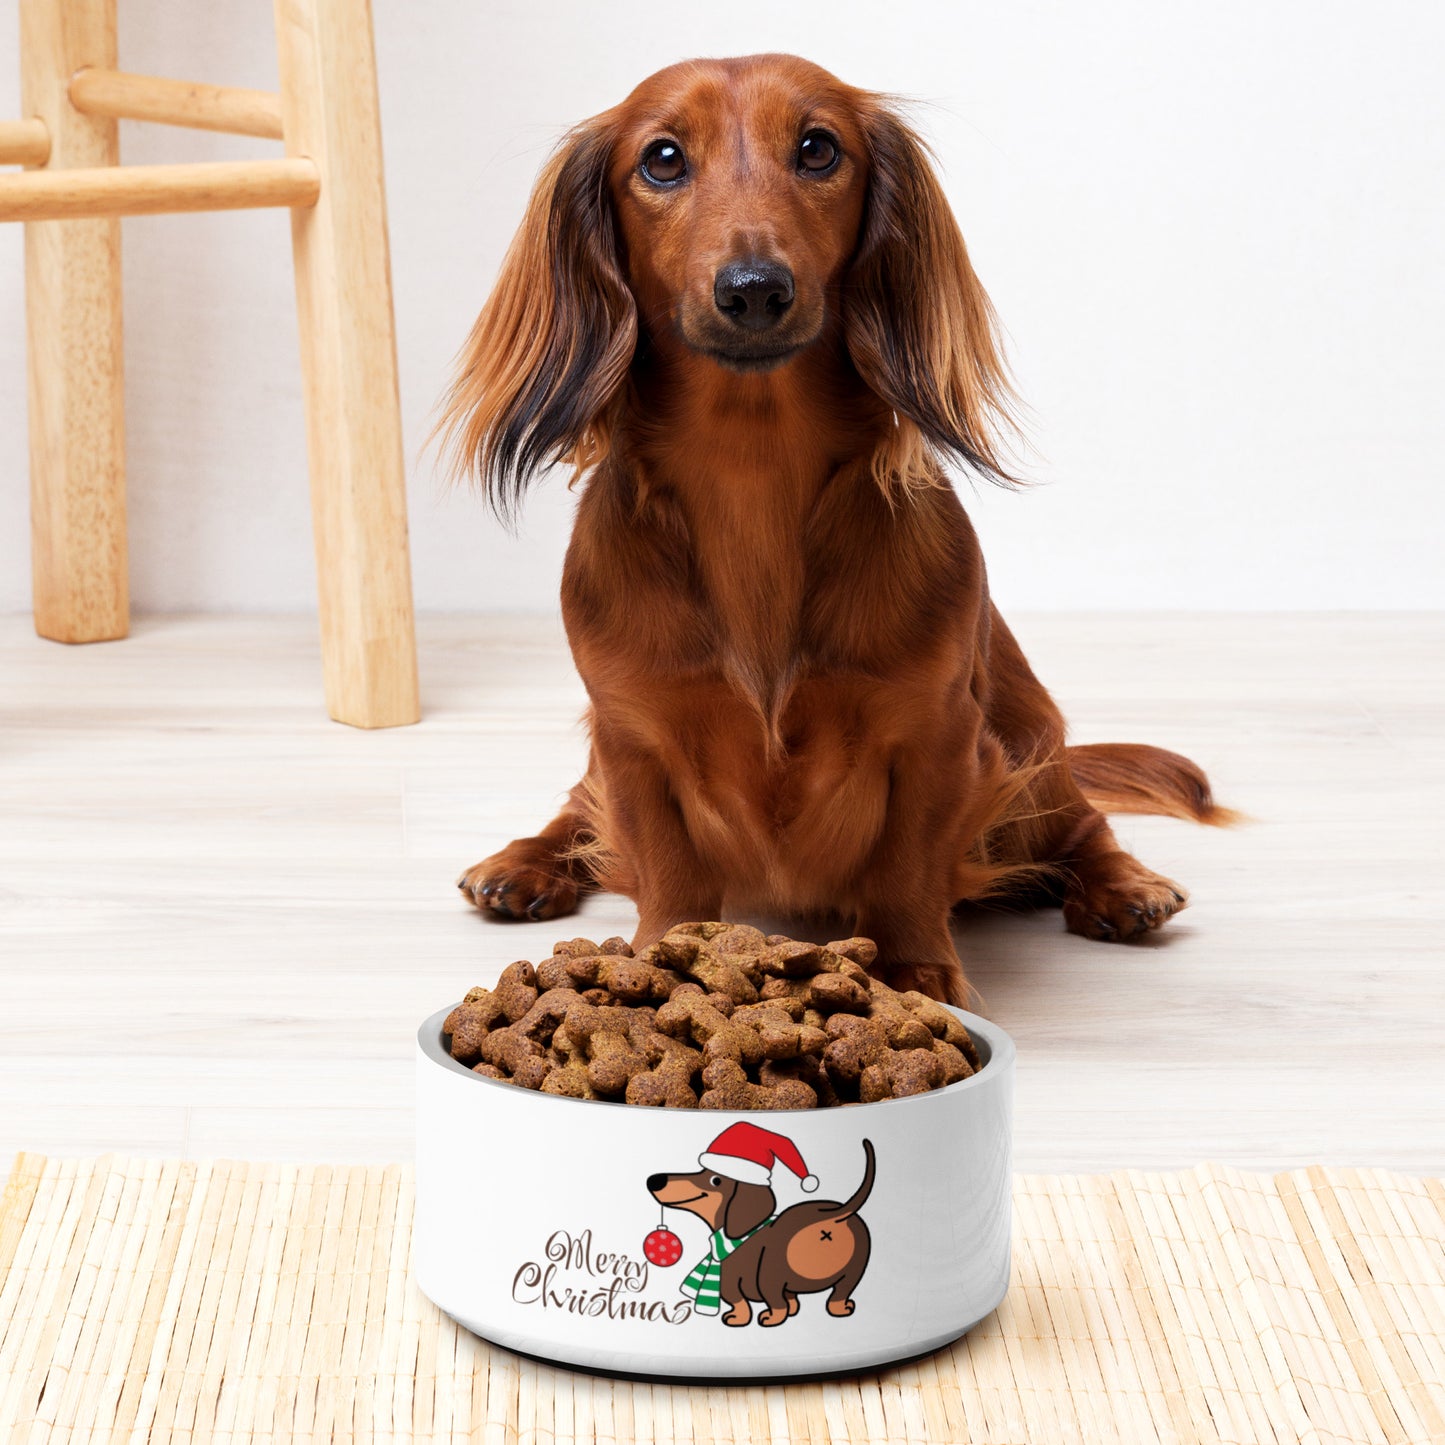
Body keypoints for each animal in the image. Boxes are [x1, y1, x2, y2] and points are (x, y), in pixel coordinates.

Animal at [439, 56, 1231, 1005]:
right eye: (661, 159)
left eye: (818, 148)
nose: (753, 289)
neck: (752, 474)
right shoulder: (632, 735)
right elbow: (664, 865)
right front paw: (661, 959)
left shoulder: (937, 734)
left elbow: (906, 866)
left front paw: (916, 970)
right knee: (576, 810)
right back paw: (523, 863)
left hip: (1028, 744)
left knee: (1081, 823)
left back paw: (1123, 885)